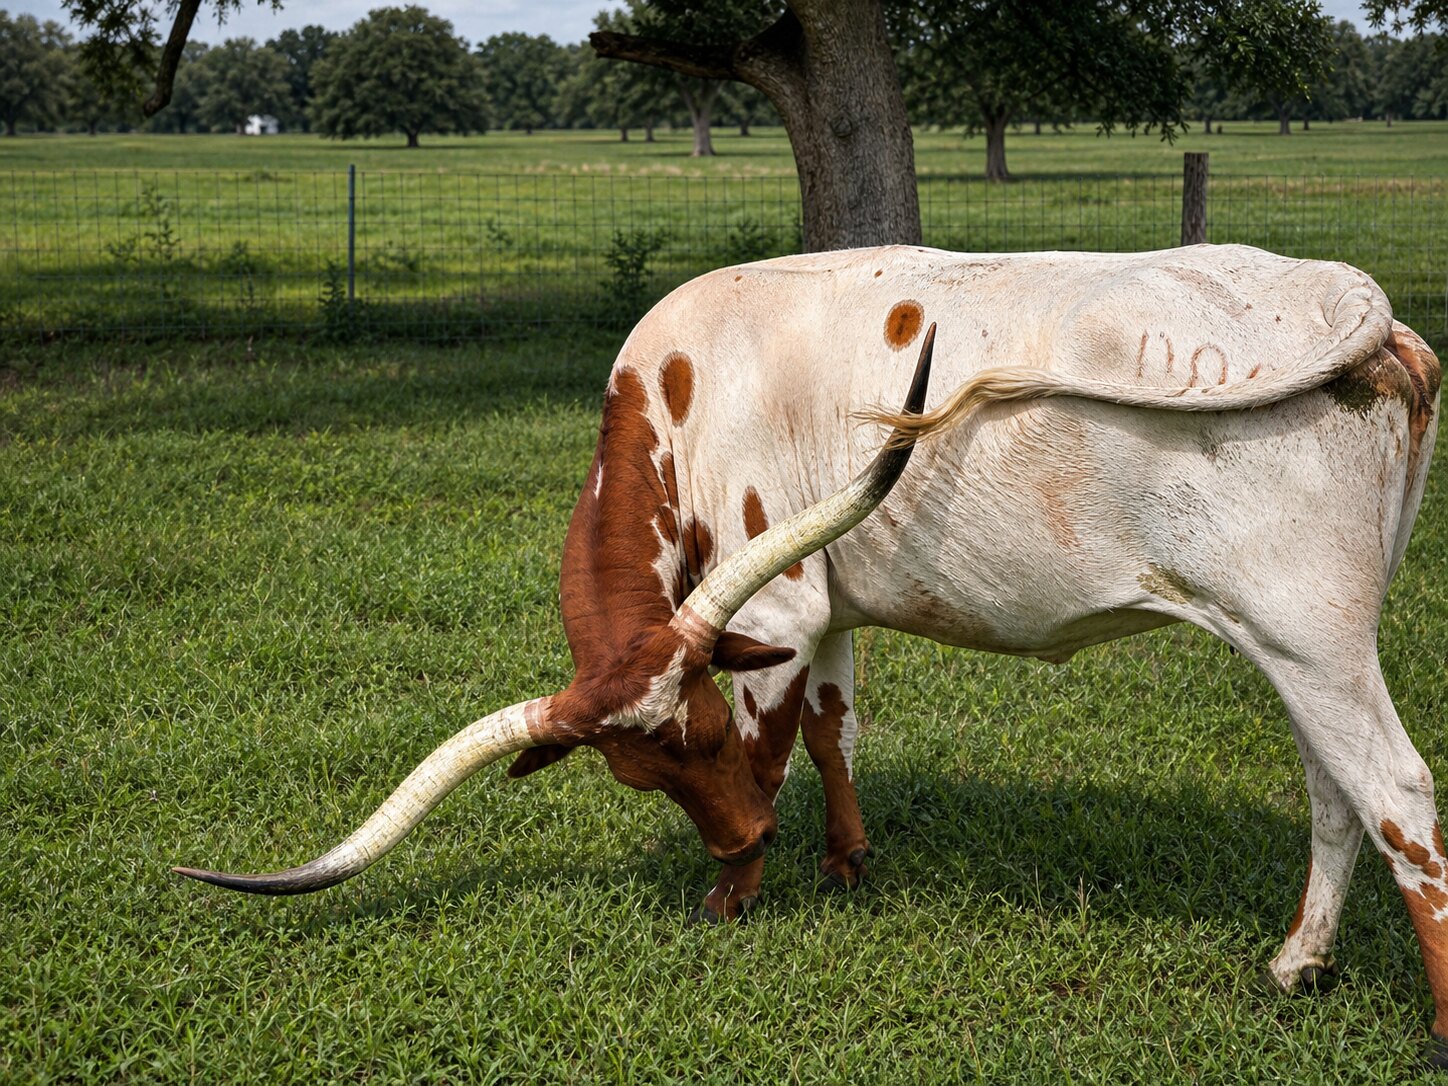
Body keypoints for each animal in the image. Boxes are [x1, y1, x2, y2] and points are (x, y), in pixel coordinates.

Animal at [177, 244, 1446, 1059]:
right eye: (636, 771)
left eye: (692, 731)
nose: (737, 842)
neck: (676, 395)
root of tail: (1349, 300)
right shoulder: (822, 607)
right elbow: (835, 733)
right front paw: (841, 863)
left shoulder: (778, 612)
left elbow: (777, 746)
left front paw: (734, 896)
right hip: (1301, 643)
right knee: (1332, 794)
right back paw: (1295, 964)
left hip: (1306, 634)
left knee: (1394, 793)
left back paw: (1427, 1018)